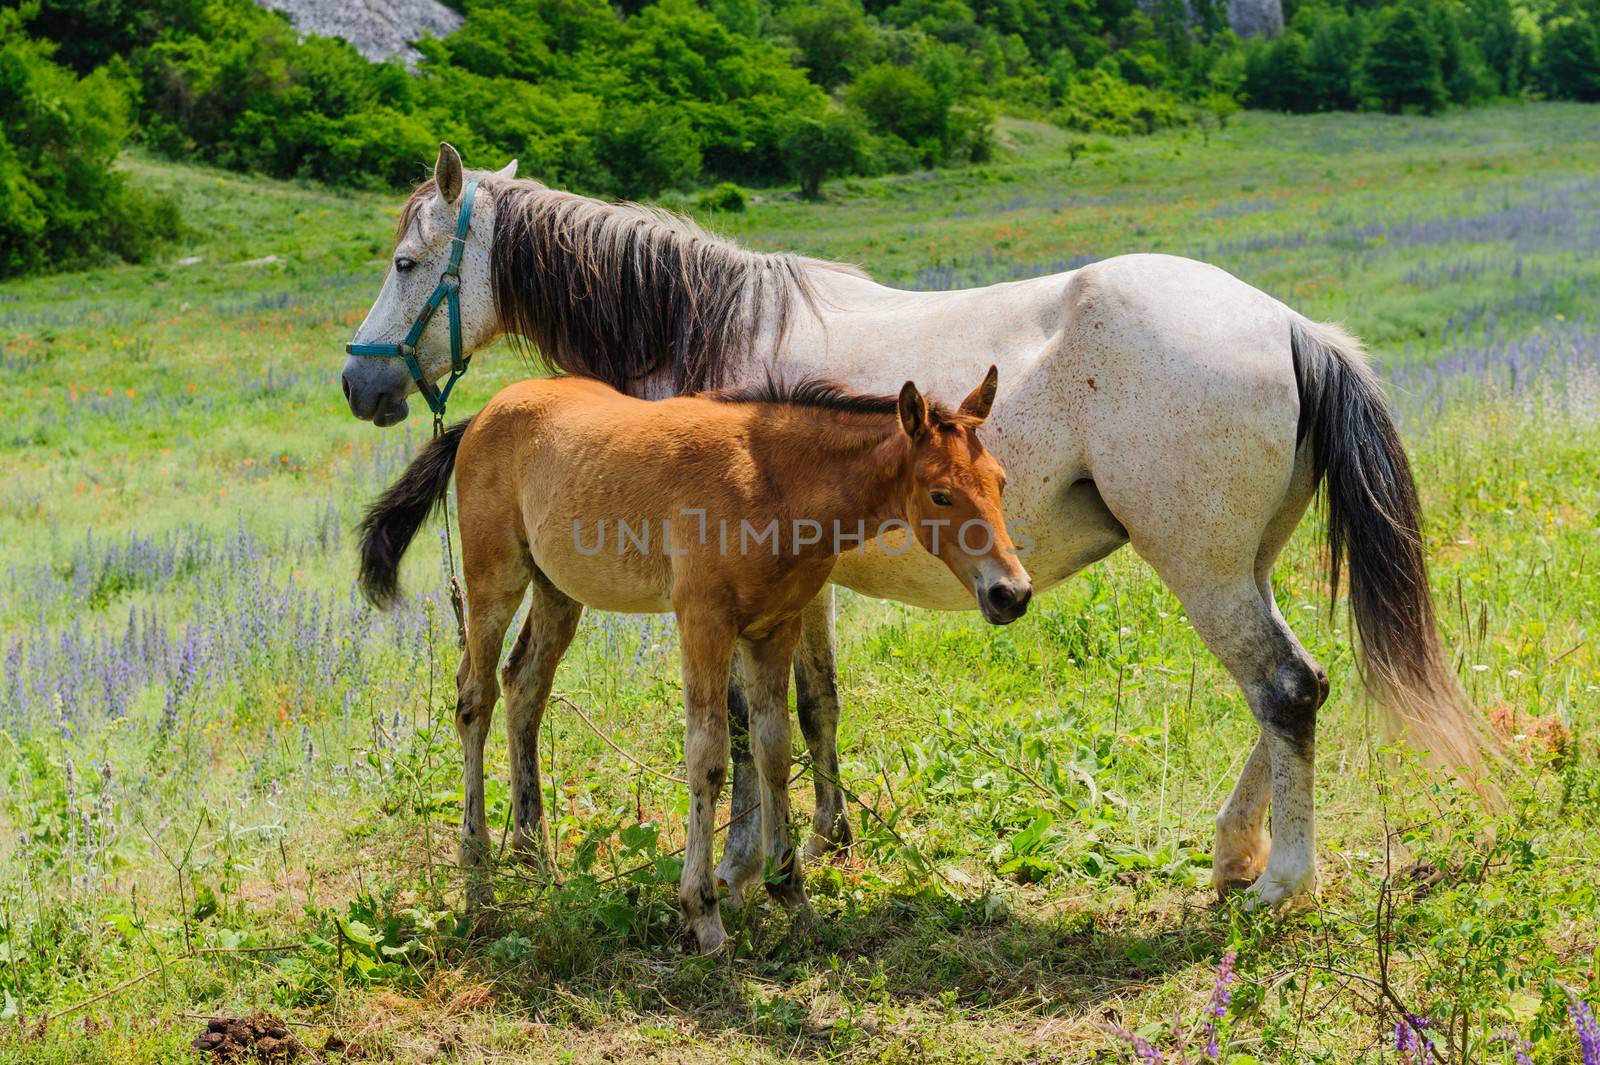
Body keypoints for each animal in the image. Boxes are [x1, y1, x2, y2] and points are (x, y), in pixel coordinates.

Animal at [356, 364, 1030, 946]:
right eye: (940, 495)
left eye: (1000, 481)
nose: (1012, 593)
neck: (772, 484)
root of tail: (482, 415)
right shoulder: (703, 622)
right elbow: (708, 756)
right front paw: (703, 913)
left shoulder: (774, 628)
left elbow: (773, 748)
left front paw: (792, 895)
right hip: (494, 577)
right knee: (475, 699)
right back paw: (478, 882)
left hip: (558, 590)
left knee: (525, 685)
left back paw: (536, 861)